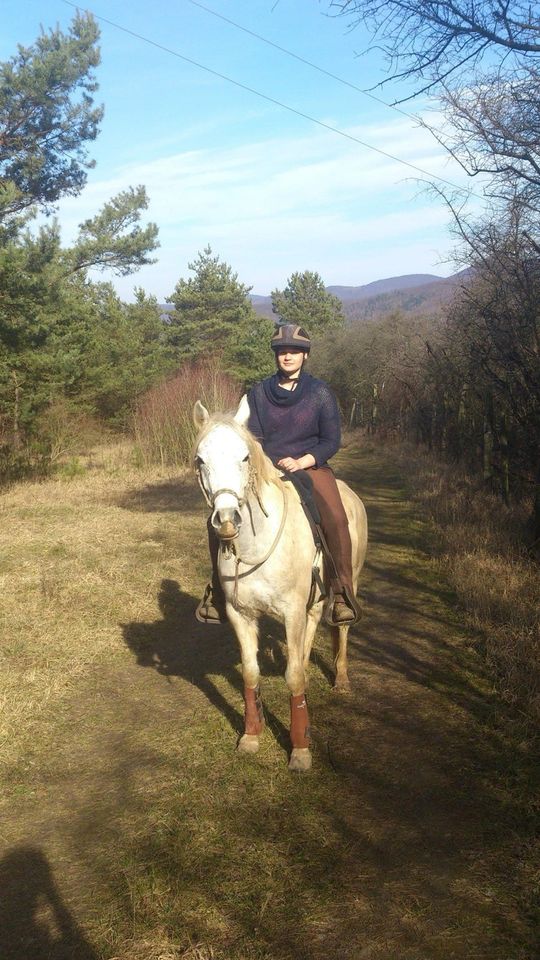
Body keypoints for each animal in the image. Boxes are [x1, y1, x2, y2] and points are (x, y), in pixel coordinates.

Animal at [193, 398, 368, 772]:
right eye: (201, 459)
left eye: (245, 457)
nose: (226, 520)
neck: (255, 544)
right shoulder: (241, 614)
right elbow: (250, 674)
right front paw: (250, 736)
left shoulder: (290, 612)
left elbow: (294, 679)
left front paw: (300, 749)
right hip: (312, 602)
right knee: (313, 625)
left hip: (351, 582)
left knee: (341, 628)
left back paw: (342, 680)